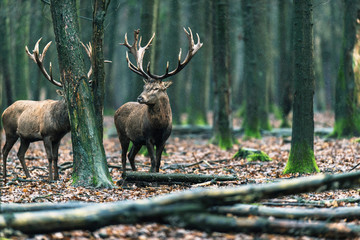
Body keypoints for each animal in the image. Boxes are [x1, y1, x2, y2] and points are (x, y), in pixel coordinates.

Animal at [1, 38, 91, 181]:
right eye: (65, 96)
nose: (72, 103)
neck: (58, 125)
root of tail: (4, 112)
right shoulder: (46, 134)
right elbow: (48, 157)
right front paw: (50, 178)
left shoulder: (58, 138)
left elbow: (55, 157)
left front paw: (57, 177)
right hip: (10, 131)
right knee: (5, 151)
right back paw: (4, 176)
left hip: (25, 138)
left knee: (20, 153)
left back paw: (28, 176)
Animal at [114, 27, 201, 172]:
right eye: (144, 86)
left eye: (156, 88)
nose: (140, 97)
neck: (159, 126)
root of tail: (117, 110)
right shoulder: (147, 137)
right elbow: (153, 161)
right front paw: (151, 173)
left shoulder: (164, 139)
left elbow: (159, 161)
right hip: (122, 134)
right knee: (123, 156)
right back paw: (125, 174)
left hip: (137, 141)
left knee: (130, 155)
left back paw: (135, 172)